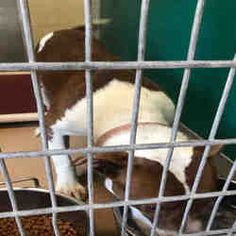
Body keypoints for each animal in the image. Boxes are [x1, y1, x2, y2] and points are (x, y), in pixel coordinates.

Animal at [35, 26, 221, 233]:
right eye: (151, 207)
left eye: (209, 201)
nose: (189, 230)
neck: (132, 116)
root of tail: (63, 30)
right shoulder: (56, 123)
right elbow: (60, 156)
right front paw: (69, 184)